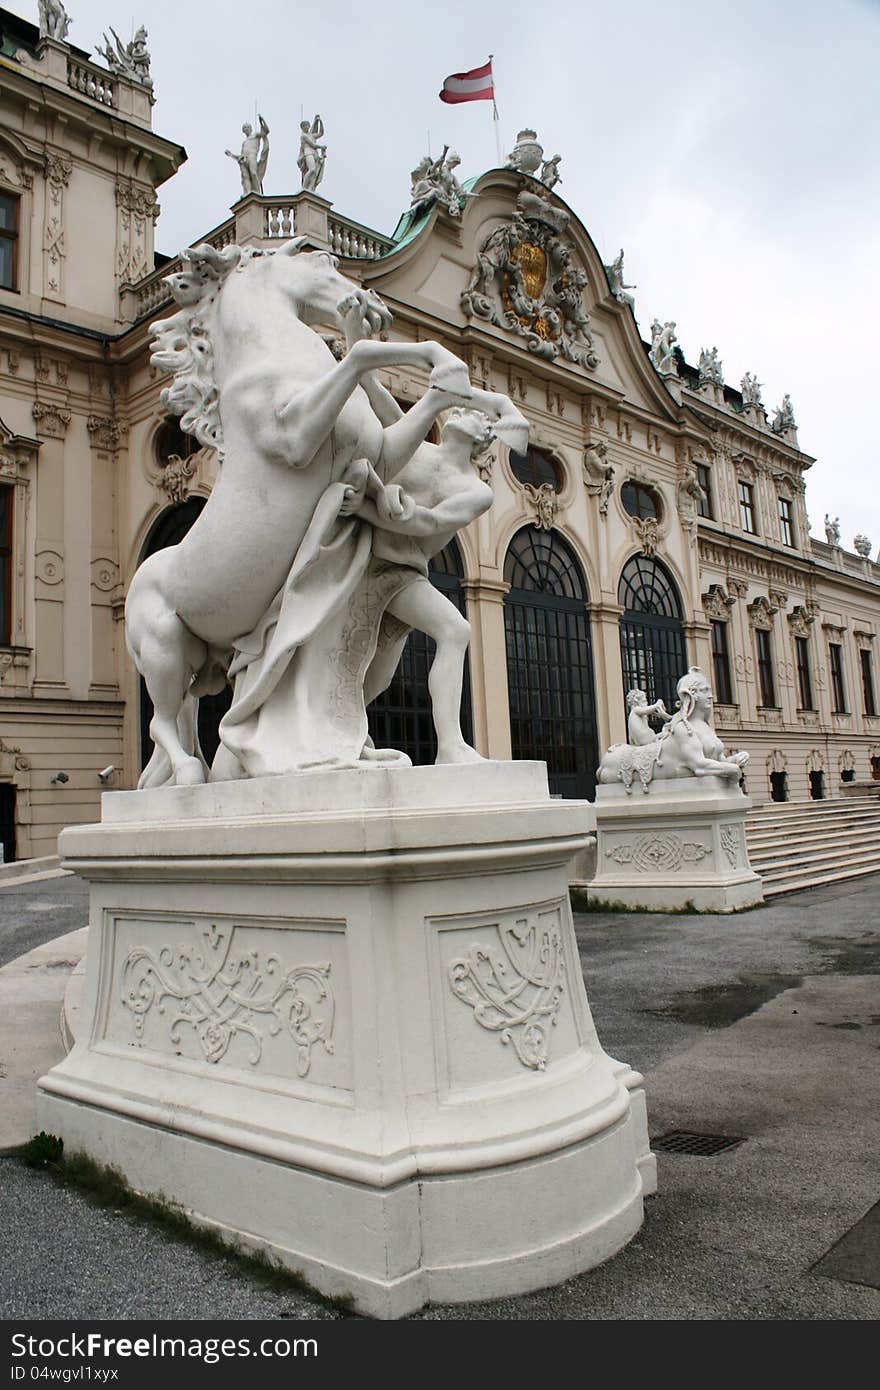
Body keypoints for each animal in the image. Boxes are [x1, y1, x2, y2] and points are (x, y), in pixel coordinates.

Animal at [125, 234, 472, 789]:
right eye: (325, 260)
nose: (374, 305)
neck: (271, 362)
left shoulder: (383, 451)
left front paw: (449, 371)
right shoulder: (295, 437)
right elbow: (362, 354)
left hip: (202, 659)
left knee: (184, 715)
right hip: (162, 647)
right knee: (162, 720)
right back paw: (191, 775)